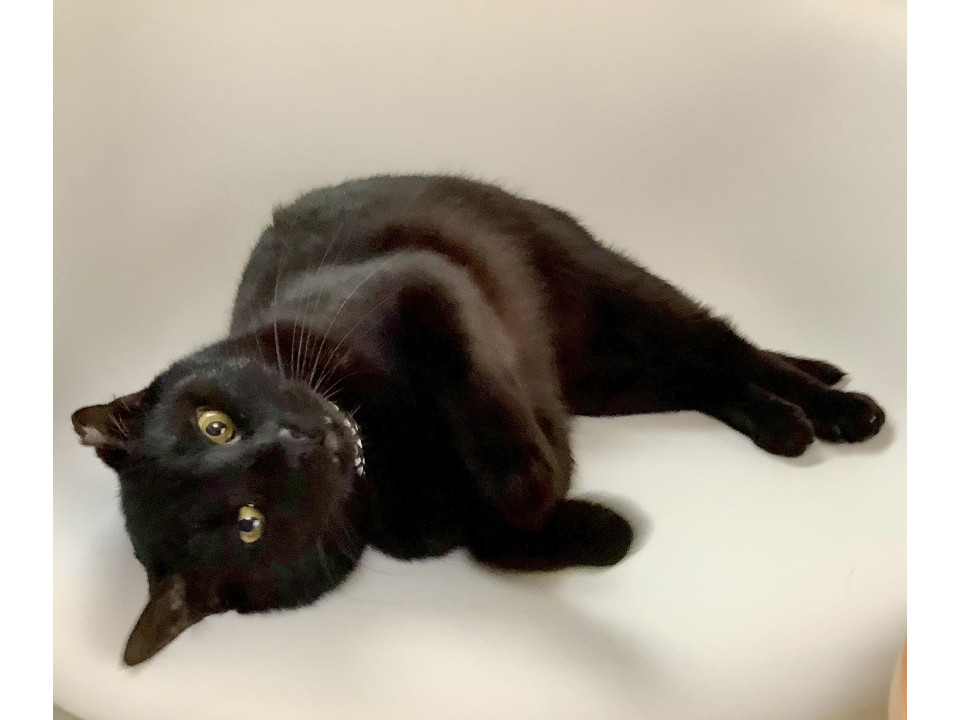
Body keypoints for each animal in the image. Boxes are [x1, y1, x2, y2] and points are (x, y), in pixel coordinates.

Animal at [71, 174, 885, 666]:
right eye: (250, 523)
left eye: (216, 426)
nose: (303, 438)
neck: (383, 448)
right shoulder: (433, 536)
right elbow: (510, 541)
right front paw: (592, 516)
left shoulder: (425, 285)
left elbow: (480, 382)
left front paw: (536, 475)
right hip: (616, 376)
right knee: (703, 376)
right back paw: (784, 424)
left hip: (613, 291)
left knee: (723, 343)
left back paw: (840, 406)